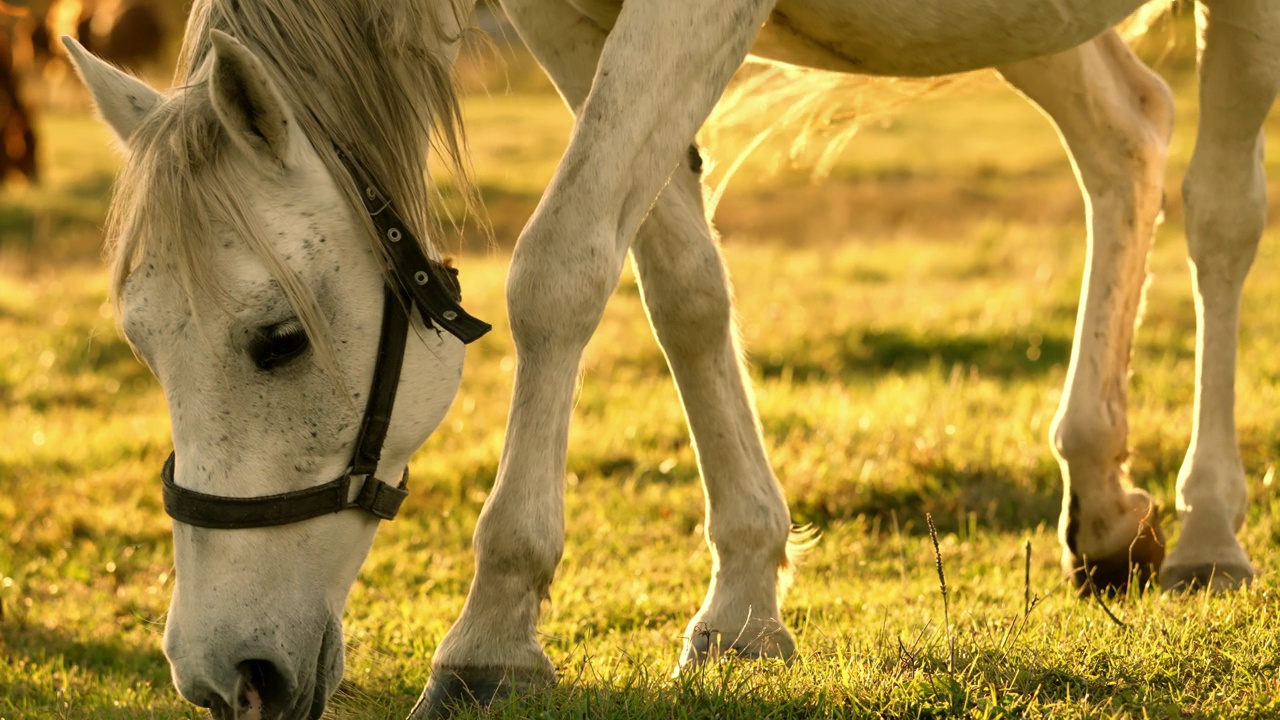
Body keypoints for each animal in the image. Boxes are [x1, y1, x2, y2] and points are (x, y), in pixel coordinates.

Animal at [67, 0, 1269, 712]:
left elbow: (558, 267)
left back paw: (1209, 527)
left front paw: (492, 631)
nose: (223, 672)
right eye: (142, 346)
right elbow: (678, 280)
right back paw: (1100, 498)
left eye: (274, 342)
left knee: (1219, 209)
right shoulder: (574, 23)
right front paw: (742, 598)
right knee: (1125, 133)